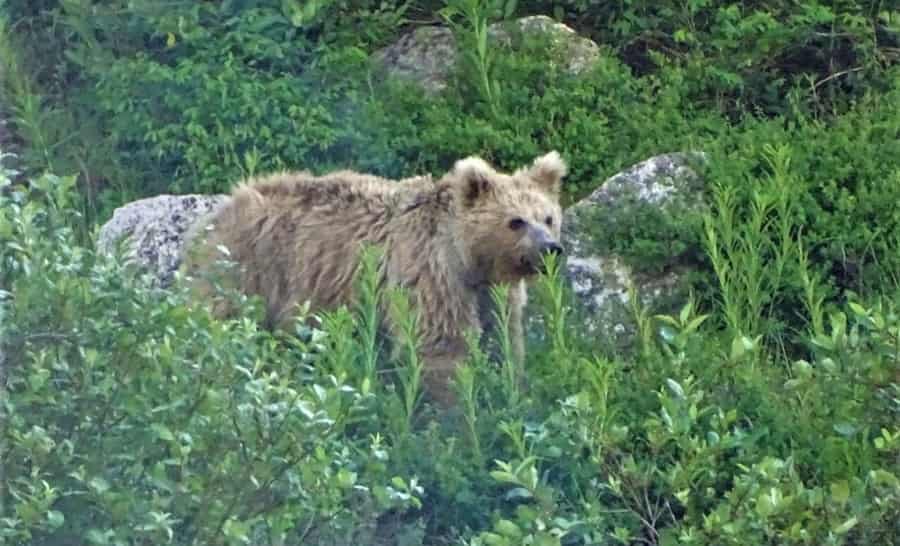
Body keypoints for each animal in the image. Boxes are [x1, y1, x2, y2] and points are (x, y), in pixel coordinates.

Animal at [179, 151, 568, 402]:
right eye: (516, 221)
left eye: (548, 217)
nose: (550, 248)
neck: (468, 260)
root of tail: (214, 215)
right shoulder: (429, 273)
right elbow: (440, 345)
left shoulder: (492, 291)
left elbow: (504, 337)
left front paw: (510, 390)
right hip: (244, 268)